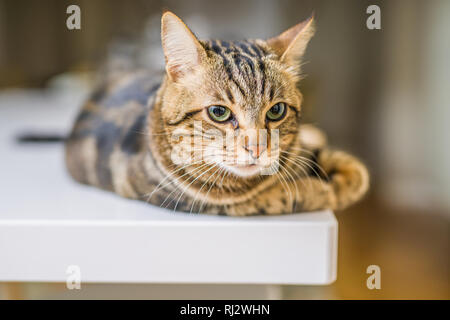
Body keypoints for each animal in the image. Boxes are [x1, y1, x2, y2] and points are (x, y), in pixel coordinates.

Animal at [66, 11, 370, 216]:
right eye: (219, 112)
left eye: (277, 110)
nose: (257, 148)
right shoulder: (202, 203)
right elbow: (285, 194)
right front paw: (326, 189)